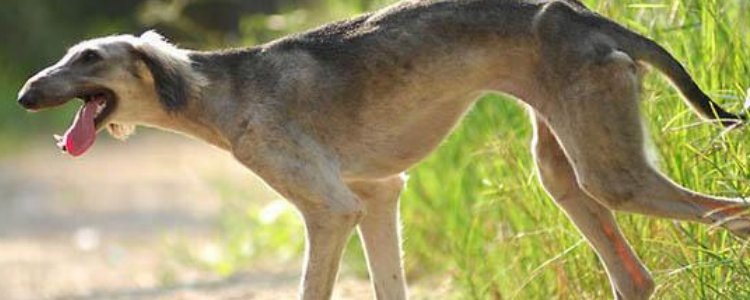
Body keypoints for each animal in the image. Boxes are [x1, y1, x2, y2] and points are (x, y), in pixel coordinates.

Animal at [16, 0, 750, 300]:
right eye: (67, 55)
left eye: (88, 57)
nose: (22, 94)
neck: (219, 88)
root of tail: (582, 14)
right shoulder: (377, 197)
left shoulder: (331, 210)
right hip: (565, 172)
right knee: (635, 278)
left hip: (611, 173)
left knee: (733, 212)